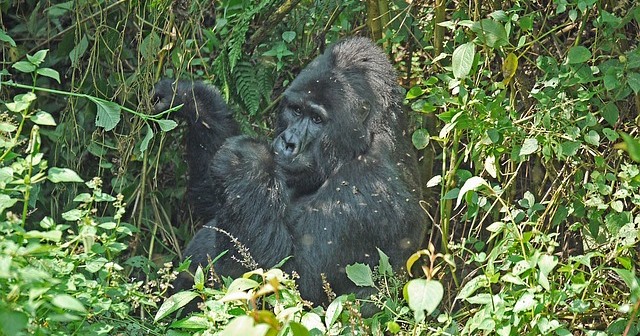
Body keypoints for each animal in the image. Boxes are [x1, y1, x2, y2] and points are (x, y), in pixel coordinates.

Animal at [152, 37, 428, 308]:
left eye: (317, 119)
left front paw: (245, 161)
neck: (366, 141)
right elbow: (214, 201)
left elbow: (296, 282)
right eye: (295, 110)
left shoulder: (365, 191)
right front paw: (191, 98)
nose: (288, 142)